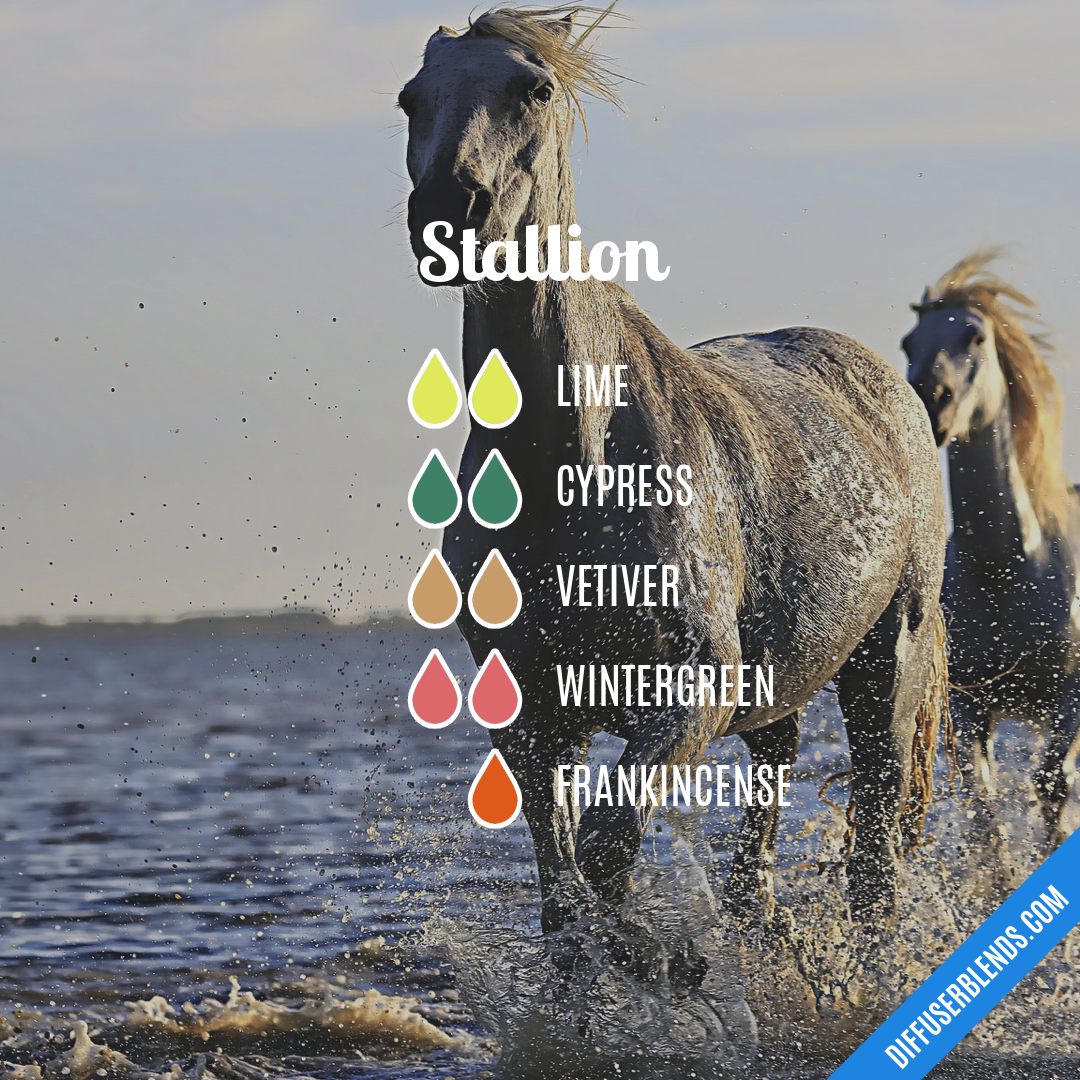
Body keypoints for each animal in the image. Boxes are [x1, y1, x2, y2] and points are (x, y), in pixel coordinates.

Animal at [399, 5, 949, 944]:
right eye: (411, 98)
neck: (571, 468)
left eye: (532, 89)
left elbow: (609, 847)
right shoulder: (534, 715)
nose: (449, 210)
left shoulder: (691, 689)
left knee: (875, 853)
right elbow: (565, 894)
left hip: (889, 664)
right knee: (766, 815)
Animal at [904, 251, 1080, 846]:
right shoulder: (972, 704)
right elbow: (985, 808)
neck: (1008, 570)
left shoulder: (1070, 700)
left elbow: (1052, 787)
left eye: (976, 337)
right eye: (909, 343)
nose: (931, 400)